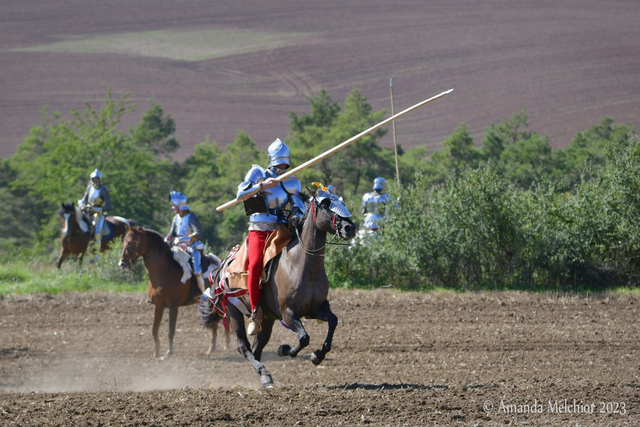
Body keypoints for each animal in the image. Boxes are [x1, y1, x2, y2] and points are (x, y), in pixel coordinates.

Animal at [117, 227, 230, 362]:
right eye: (124, 242)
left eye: (130, 243)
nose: (122, 264)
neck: (165, 271)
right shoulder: (158, 306)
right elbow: (154, 329)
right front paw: (157, 353)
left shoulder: (173, 306)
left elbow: (171, 330)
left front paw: (169, 352)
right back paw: (216, 348)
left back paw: (221, 347)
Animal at [198, 191, 358, 388]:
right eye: (325, 204)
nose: (350, 227)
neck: (301, 265)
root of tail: (221, 267)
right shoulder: (288, 312)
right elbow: (304, 338)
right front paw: (285, 349)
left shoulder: (316, 309)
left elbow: (333, 322)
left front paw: (317, 356)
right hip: (234, 311)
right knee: (244, 347)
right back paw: (265, 373)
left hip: (266, 319)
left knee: (257, 347)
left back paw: (264, 375)